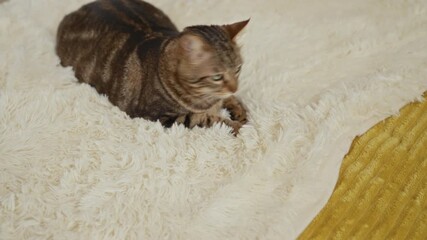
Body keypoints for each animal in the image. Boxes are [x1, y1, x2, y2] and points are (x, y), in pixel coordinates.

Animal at [57, 0, 251, 135]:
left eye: (238, 69)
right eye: (217, 77)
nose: (236, 87)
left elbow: (230, 100)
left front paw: (241, 111)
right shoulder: (161, 117)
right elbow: (207, 118)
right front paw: (239, 126)